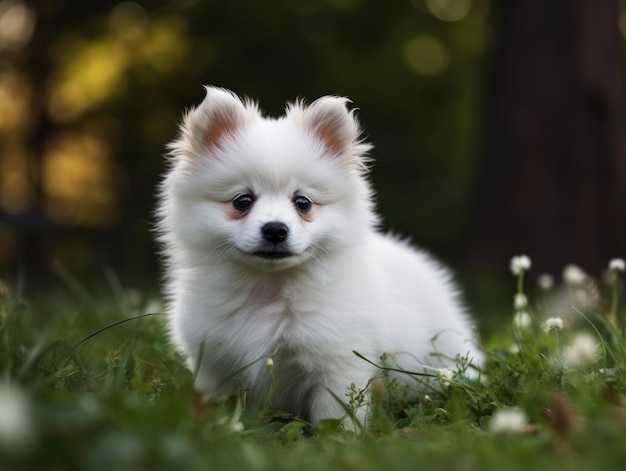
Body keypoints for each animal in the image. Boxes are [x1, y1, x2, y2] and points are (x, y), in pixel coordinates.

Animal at [155, 86, 478, 426]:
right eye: (242, 201)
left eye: (303, 203)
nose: (275, 230)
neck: (268, 290)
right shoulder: (215, 362)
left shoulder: (339, 363)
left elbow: (335, 416)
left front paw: (340, 436)